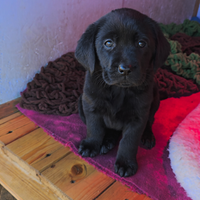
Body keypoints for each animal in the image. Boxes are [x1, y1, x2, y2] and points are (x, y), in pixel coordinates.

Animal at [75, 7, 170, 177]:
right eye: (108, 43)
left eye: (141, 43)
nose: (125, 69)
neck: (119, 90)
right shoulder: (91, 106)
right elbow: (94, 128)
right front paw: (91, 145)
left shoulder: (138, 117)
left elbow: (129, 142)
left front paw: (125, 163)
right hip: (80, 102)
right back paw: (107, 141)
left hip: (155, 99)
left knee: (150, 121)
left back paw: (147, 136)